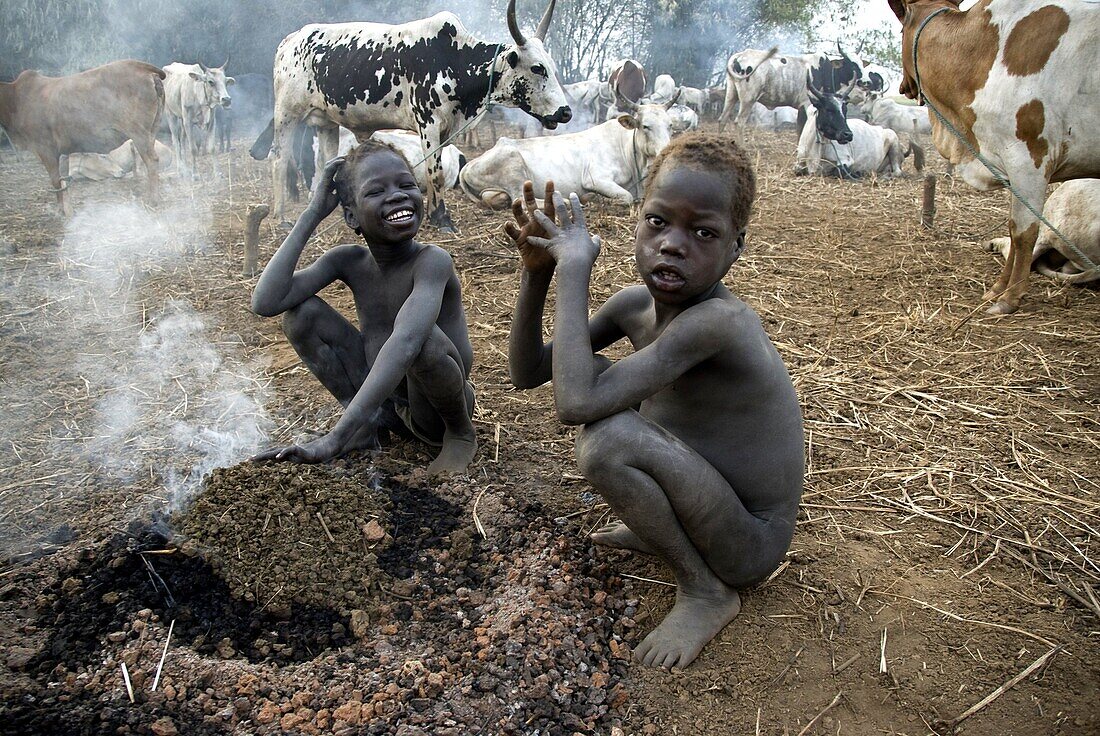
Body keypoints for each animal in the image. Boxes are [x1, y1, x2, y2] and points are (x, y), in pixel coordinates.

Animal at [0, 60, 165, 215]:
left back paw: (153, 200)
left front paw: (60, 211)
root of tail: (143, 67)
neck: (14, 100)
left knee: (152, 161)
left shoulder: (45, 148)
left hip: (138, 132)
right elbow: (63, 179)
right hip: (152, 130)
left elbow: (55, 181)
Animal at [262, 0, 572, 229]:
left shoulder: (445, 130)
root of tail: (289, 40)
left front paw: (434, 214)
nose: (566, 112)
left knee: (326, 161)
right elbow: (435, 173)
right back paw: (282, 217)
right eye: (537, 68)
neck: (455, 58)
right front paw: (443, 219)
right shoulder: (429, 123)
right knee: (279, 159)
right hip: (287, 115)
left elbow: (436, 169)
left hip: (326, 122)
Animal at [893, 0, 1100, 312]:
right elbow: (1013, 228)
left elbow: (1024, 233)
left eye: (901, 30)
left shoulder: (1029, 161)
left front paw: (1010, 298)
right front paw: (998, 288)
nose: (903, 85)